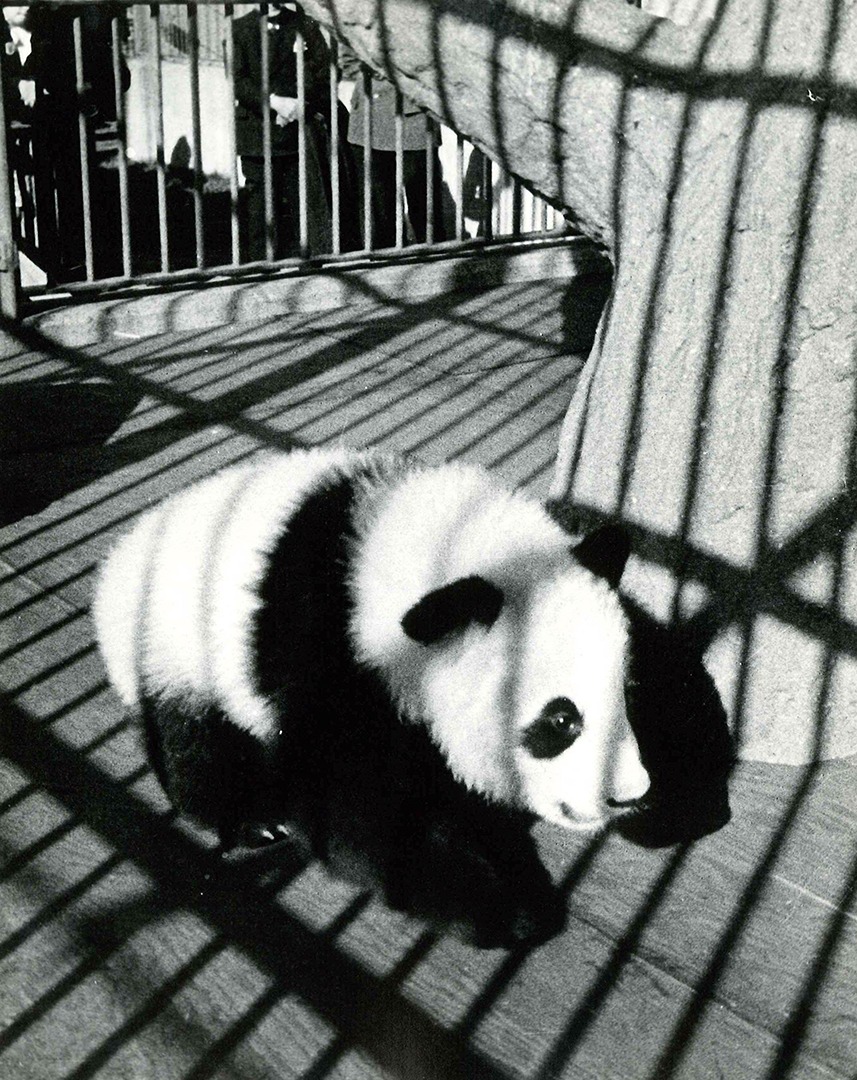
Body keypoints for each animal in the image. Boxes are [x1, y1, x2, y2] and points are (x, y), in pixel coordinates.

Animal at [93, 446, 651, 946]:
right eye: (561, 720)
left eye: (626, 693)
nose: (629, 795)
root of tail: (116, 564)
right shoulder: (324, 651)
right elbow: (350, 806)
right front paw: (505, 907)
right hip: (176, 643)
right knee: (193, 739)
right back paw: (250, 821)